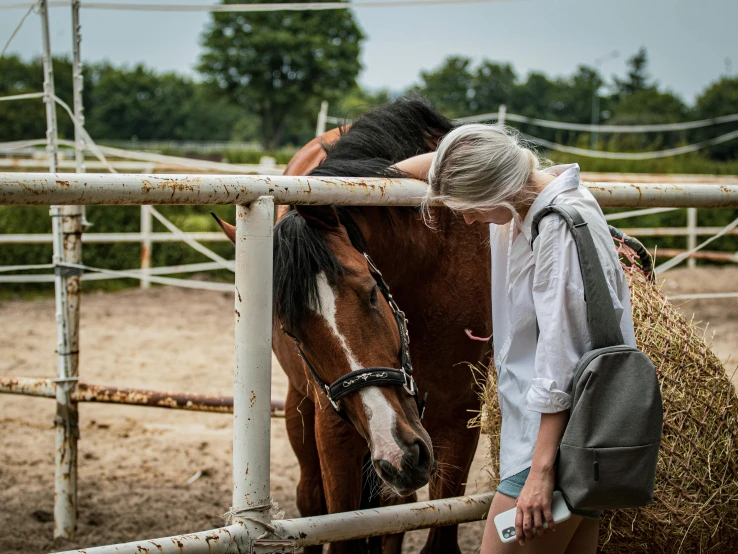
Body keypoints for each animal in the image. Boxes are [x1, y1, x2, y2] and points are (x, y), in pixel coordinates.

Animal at [213, 97, 488, 548]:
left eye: (372, 292)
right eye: (291, 332)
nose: (399, 455)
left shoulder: (459, 419)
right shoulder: (335, 429)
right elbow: (341, 526)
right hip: (302, 410)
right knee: (312, 499)